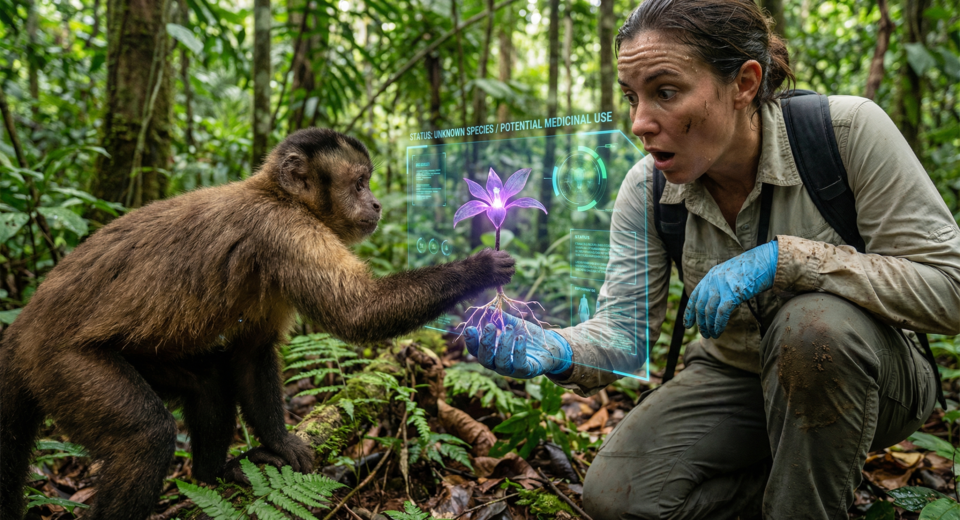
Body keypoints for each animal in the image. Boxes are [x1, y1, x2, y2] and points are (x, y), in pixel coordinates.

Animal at [0, 128, 515, 520]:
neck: (277, 194)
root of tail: (22, 326)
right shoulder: (286, 231)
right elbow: (357, 311)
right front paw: (480, 269)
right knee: (145, 438)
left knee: (208, 382)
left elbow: (250, 353)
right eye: (360, 183)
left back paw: (210, 474)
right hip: (60, 366)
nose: (377, 205)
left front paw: (279, 442)